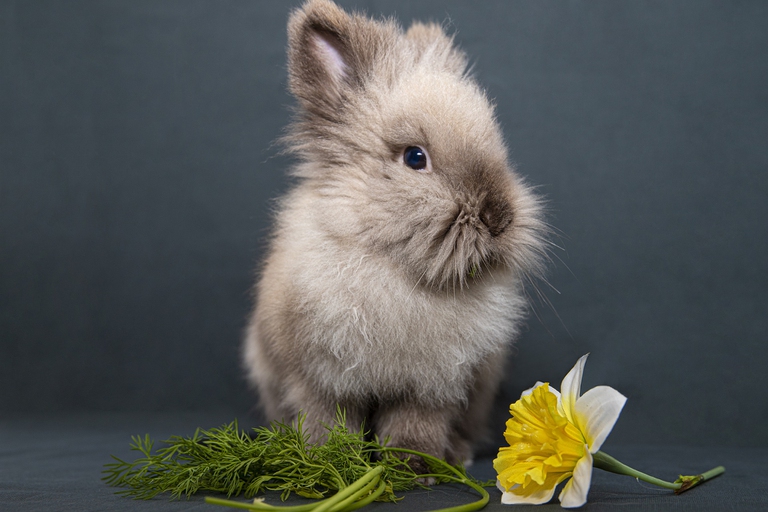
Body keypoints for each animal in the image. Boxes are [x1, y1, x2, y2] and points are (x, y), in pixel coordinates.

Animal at [243, 0, 548, 471]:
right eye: (414, 157)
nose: (498, 217)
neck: (400, 271)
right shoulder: (321, 377)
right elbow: (327, 420)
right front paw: (330, 462)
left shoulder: (433, 385)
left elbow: (415, 426)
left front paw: (415, 468)